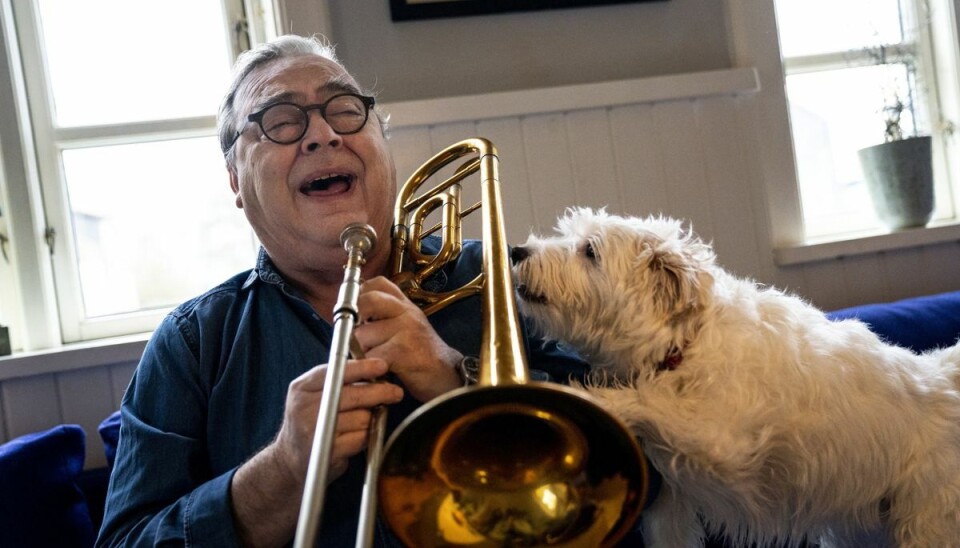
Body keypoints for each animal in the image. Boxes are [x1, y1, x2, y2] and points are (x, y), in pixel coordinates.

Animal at [512, 208, 960, 544]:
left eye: (590, 251)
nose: (516, 250)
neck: (685, 344)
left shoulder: (722, 444)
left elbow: (648, 400)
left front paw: (585, 395)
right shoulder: (667, 506)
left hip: (927, 525)